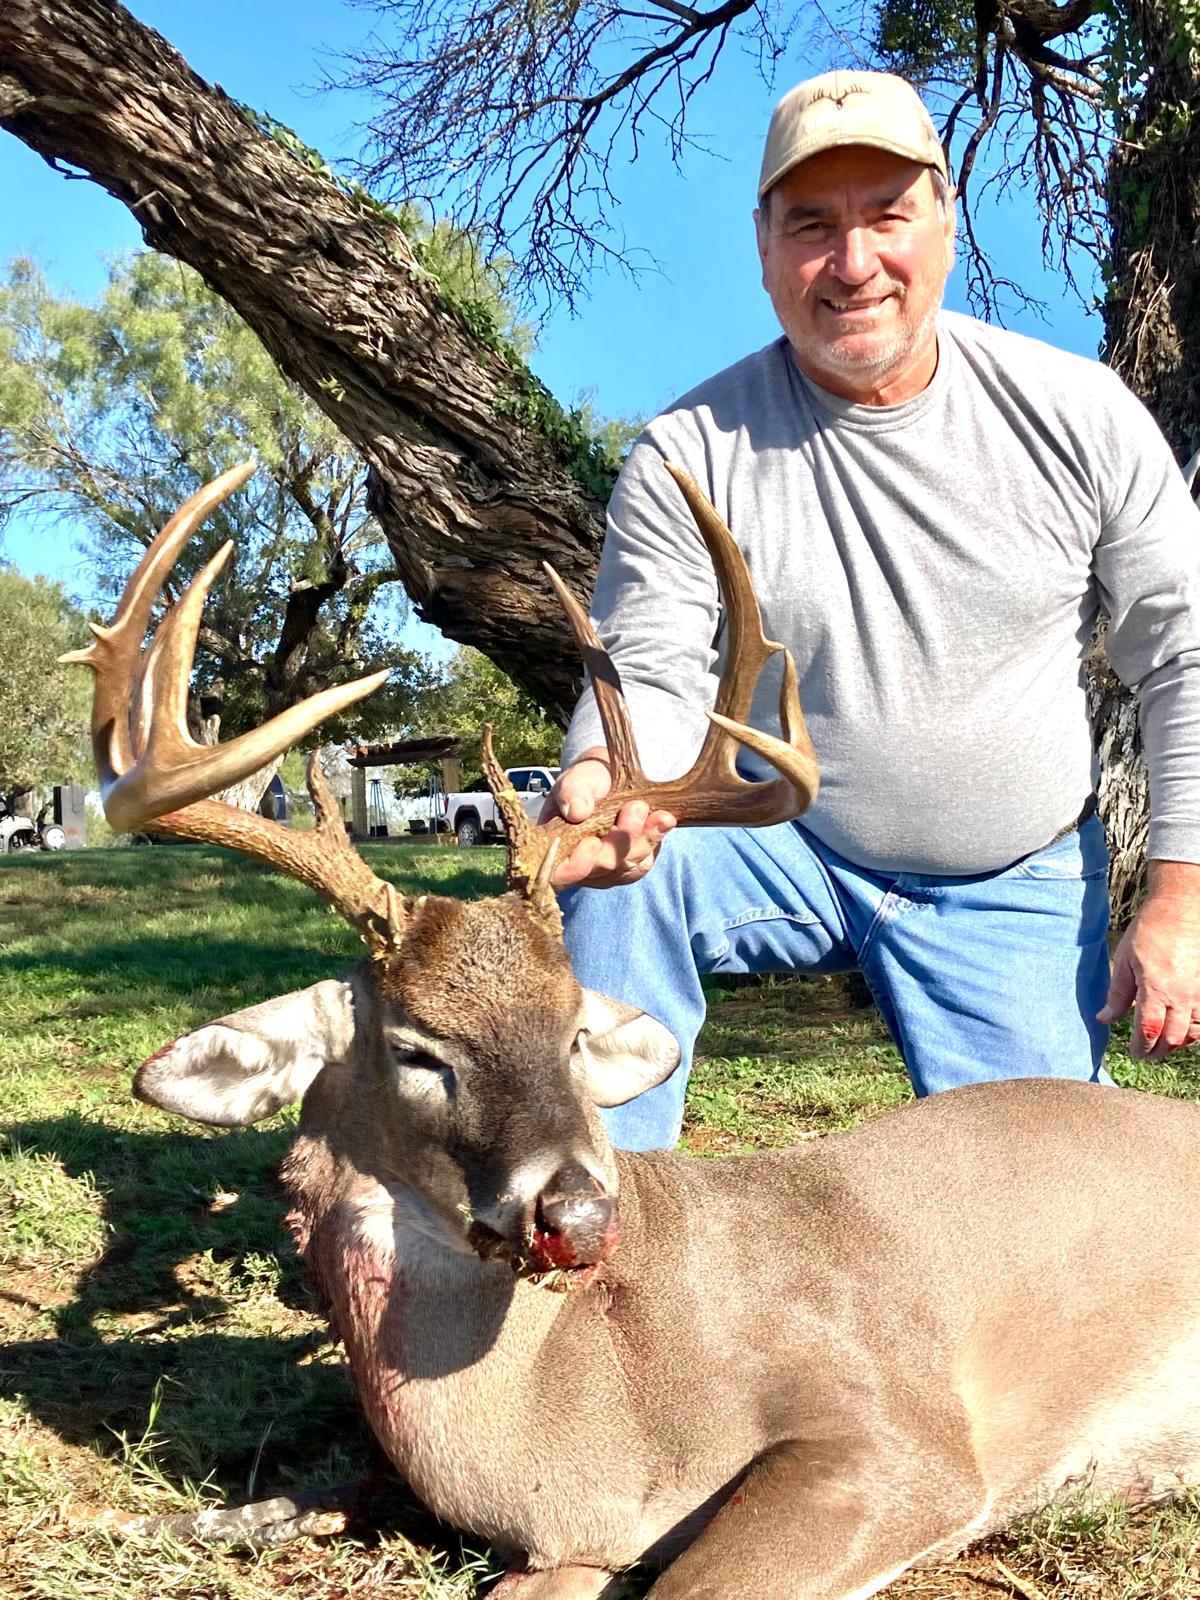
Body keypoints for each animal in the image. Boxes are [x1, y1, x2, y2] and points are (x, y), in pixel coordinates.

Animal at [65, 461, 1200, 1600]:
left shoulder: (897, 1426)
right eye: (415, 1049)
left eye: (574, 1030)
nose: (576, 1214)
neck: (567, 1426)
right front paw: (172, 1519)